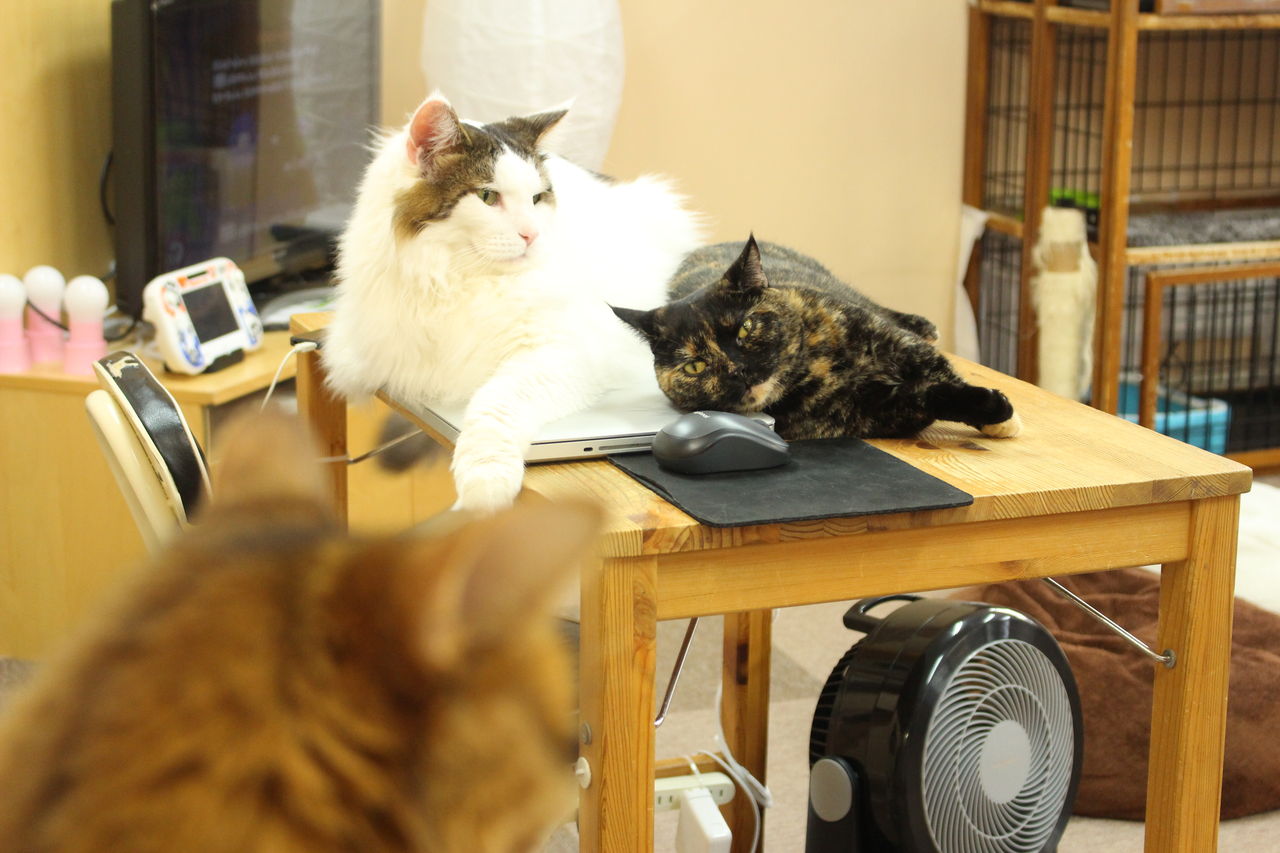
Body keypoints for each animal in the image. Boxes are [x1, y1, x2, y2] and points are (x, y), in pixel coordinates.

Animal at [322, 92, 703, 512]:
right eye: (487, 197)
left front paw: (484, 482)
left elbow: (495, 403)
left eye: (537, 199)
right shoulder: (362, 353)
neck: (456, 278)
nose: (532, 235)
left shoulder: (561, 354)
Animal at [611, 236, 1022, 441]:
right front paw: (994, 411)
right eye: (695, 366)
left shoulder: (904, 348)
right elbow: (929, 396)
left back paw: (923, 322)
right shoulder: (881, 413)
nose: (739, 372)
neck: (817, 368)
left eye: (746, 327)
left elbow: (944, 375)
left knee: (889, 311)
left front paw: (1002, 420)